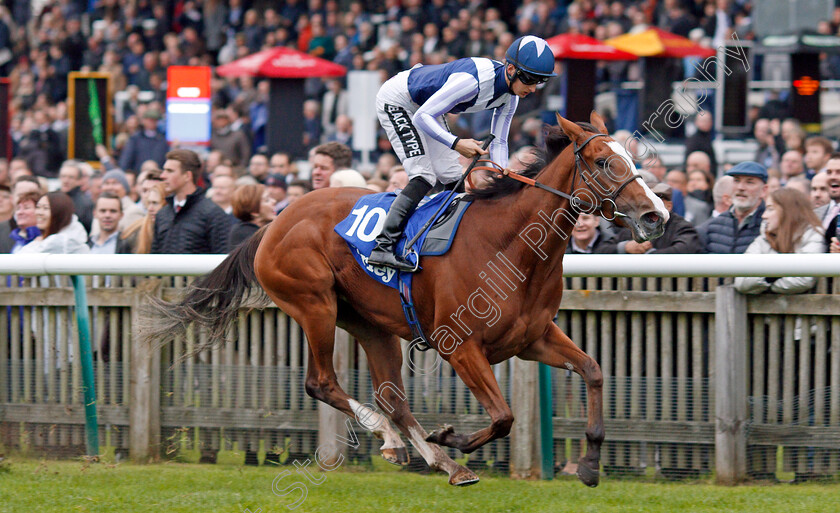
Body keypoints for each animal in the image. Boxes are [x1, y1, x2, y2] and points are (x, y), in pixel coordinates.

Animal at [144, 111, 668, 484]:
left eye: (631, 158)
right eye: (604, 162)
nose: (656, 215)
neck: (512, 246)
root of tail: (274, 222)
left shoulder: (532, 338)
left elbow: (593, 371)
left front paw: (590, 466)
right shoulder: (460, 346)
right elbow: (503, 417)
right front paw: (452, 436)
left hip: (370, 323)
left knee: (391, 397)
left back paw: (431, 457)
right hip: (314, 304)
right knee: (321, 382)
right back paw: (402, 442)